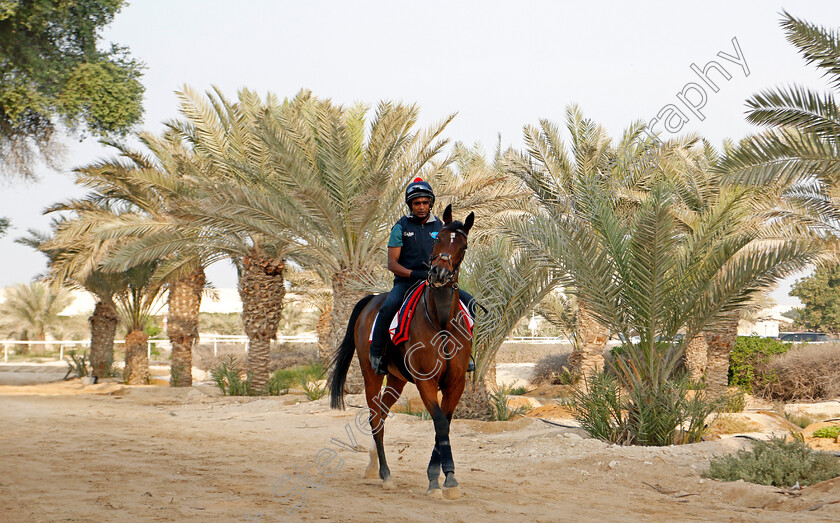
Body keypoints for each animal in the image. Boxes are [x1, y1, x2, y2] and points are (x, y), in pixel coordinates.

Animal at [326, 204, 472, 500]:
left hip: (396, 379)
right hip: (371, 374)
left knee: (382, 414)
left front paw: (442, 477)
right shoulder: (426, 382)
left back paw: (373, 466)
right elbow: (440, 423)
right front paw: (442, 480)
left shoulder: (456, 383)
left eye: (462, 246)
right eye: (438, 240)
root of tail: (372, 299)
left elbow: (445, 425)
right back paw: (385, 474)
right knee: (375, 417)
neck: (442, 322)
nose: (438, 274)